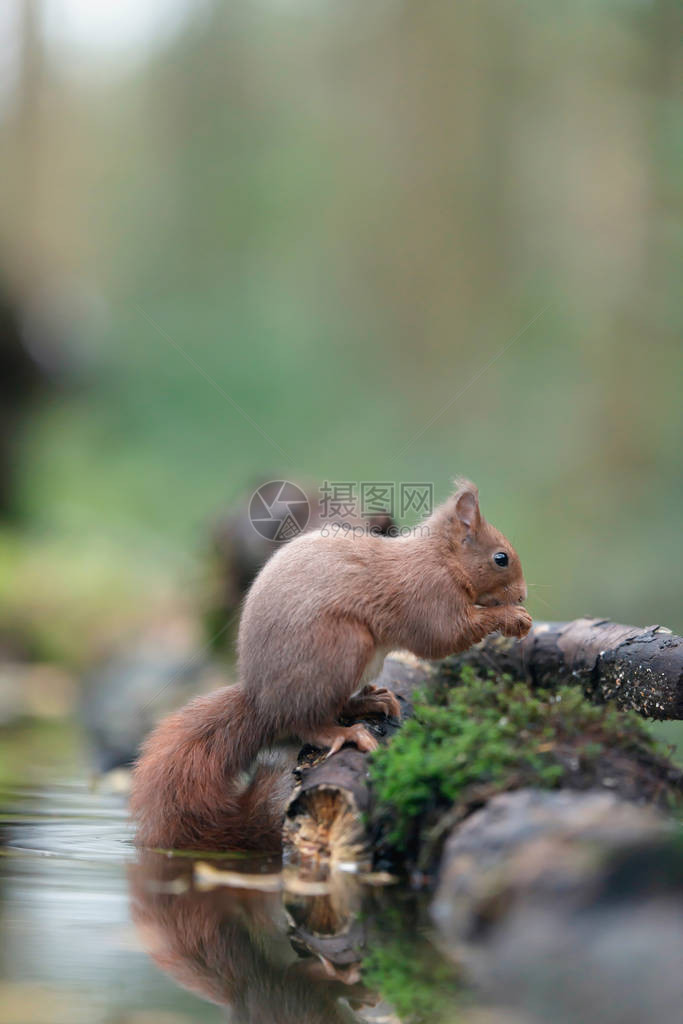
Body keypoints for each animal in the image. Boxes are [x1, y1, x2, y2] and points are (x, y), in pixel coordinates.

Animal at [131, 479, 532, 847]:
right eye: (501, 558)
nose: (523, 595)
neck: (441, 558)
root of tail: (262, 703)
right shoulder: (429, 595)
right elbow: (445, 636)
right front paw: (512, 618)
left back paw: (370, 701)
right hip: (344, 649)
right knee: (307, 723)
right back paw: (344, 733)